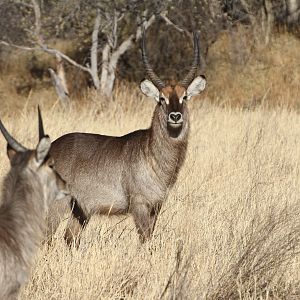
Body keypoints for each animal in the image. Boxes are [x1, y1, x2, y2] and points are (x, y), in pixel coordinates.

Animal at [47, 29, 206, 246]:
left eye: (185, 97)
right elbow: (144, 239)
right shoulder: (139, 203)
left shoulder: (156, 205)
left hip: (80, 209)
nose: (175, 116)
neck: (152, 155)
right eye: (161, 99)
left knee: (70, 238)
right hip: (58, 203)